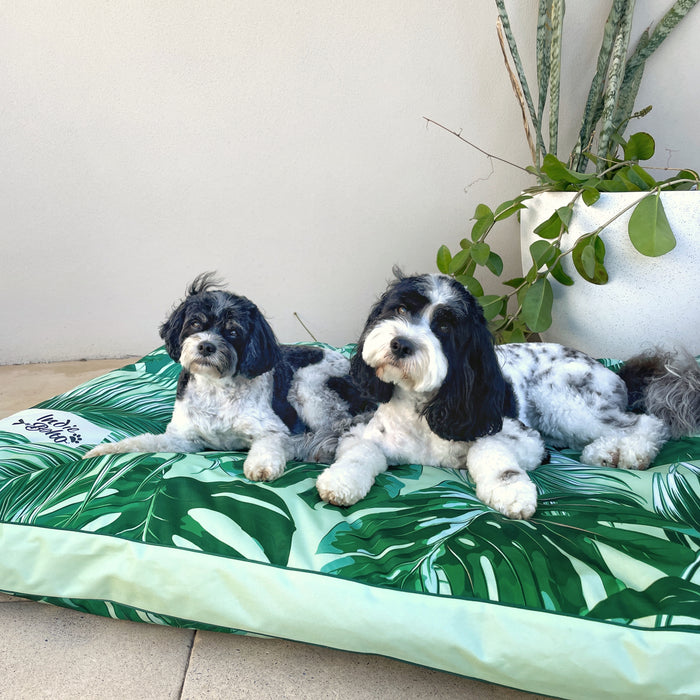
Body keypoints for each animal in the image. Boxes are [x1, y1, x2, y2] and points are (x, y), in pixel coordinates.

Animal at [84, 274, 370, 482]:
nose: (206, 346)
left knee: (339, 428)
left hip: (308, 388)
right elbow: (143, 442)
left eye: (233, 331)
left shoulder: (272, 428)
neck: (215, 389)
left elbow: (269, 444)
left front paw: (262, 465)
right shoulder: (183, 439)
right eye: (195, 324)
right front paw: (104, 451)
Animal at [318, 272, 700, 520]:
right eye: (399, 310)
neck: (421, 409)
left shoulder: (526, 441)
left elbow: (490, 452)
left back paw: (632, 451)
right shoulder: (362, 434)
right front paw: (340, 480)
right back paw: (605, 453)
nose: (401, 344)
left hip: (561, 401)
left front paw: (510, 490)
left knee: (646, 422)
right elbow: (360, 454)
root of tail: (614, 372)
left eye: (445, 326)